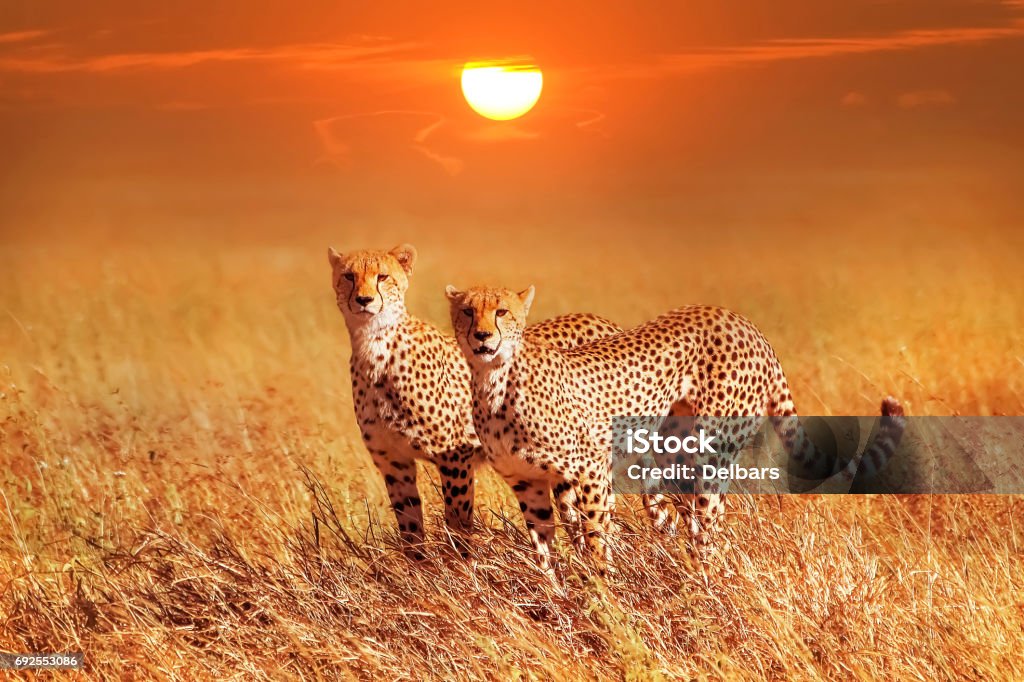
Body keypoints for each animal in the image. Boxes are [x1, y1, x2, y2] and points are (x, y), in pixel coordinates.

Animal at [327, 242, 618, 552]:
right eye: (348, 276)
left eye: (382, 277)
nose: (364, 300)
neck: (375, 348)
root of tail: (598, 319)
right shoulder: (394, 462)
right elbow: (411, 535)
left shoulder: (455, 456)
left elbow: (457, 524)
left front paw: (460, 562)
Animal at [448, 280, 905, 569]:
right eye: (467, 312)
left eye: (501, 311)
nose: (483, 337)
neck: (494, 382)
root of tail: (739, 319)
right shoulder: (528, 482)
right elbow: (544, 550)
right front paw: (557, 597)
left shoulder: (591, 470)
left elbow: (595, 540)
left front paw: (602, 600)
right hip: (669, 452)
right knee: (682, 516)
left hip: (709, 452)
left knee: (708, 524)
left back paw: (702, 584)